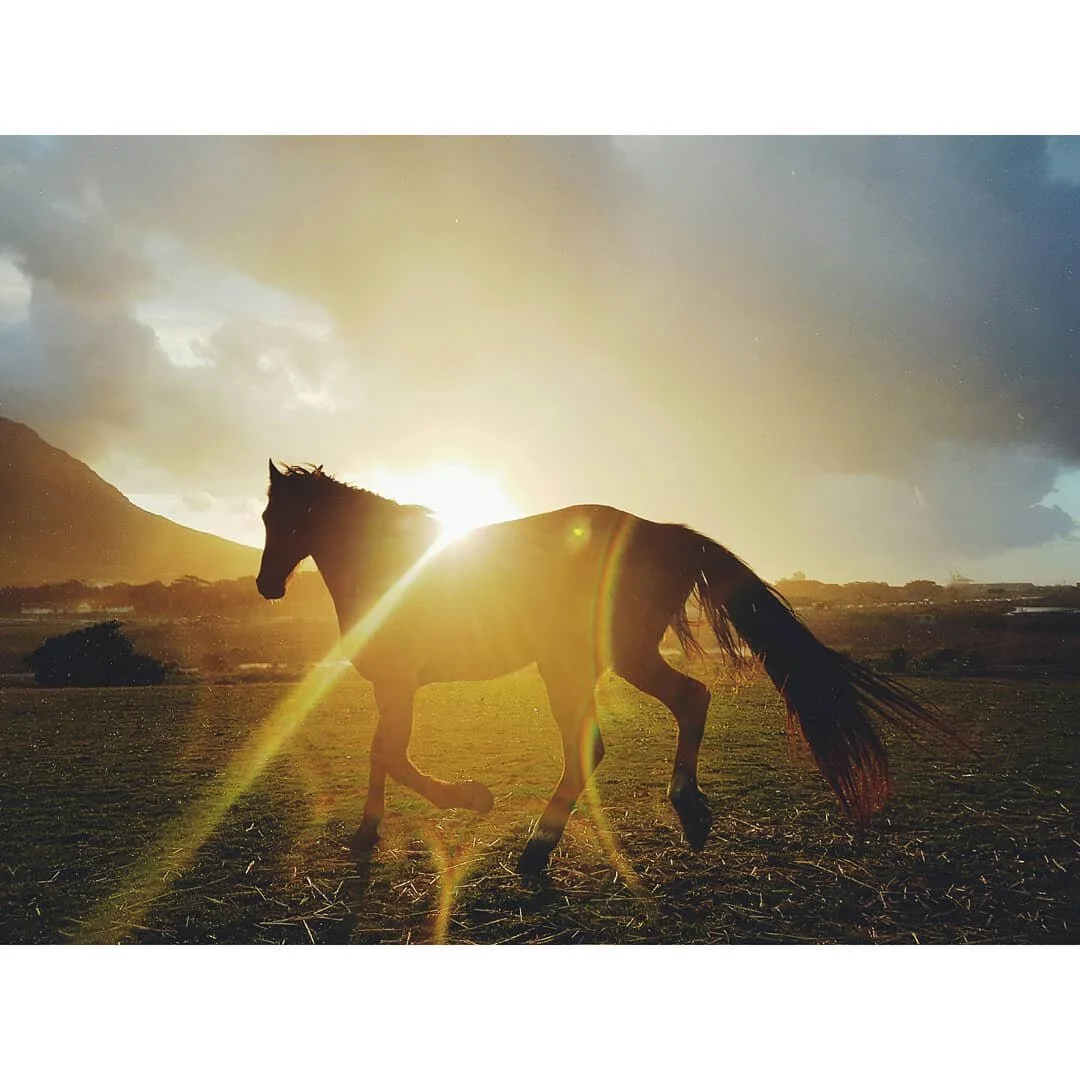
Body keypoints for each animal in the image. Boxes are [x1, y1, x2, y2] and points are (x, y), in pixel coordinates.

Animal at [256, 460, 950, 876]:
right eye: (265, 516)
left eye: (283, 516)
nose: (266, 587)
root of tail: (667, 532)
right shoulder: (389, 686)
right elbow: (379, 754)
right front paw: (366, 833)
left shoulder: (400, 683)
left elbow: (393, 756)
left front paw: (472, 798)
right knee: (623, 731)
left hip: (602, 659)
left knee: (661, 713)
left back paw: (563, 840)